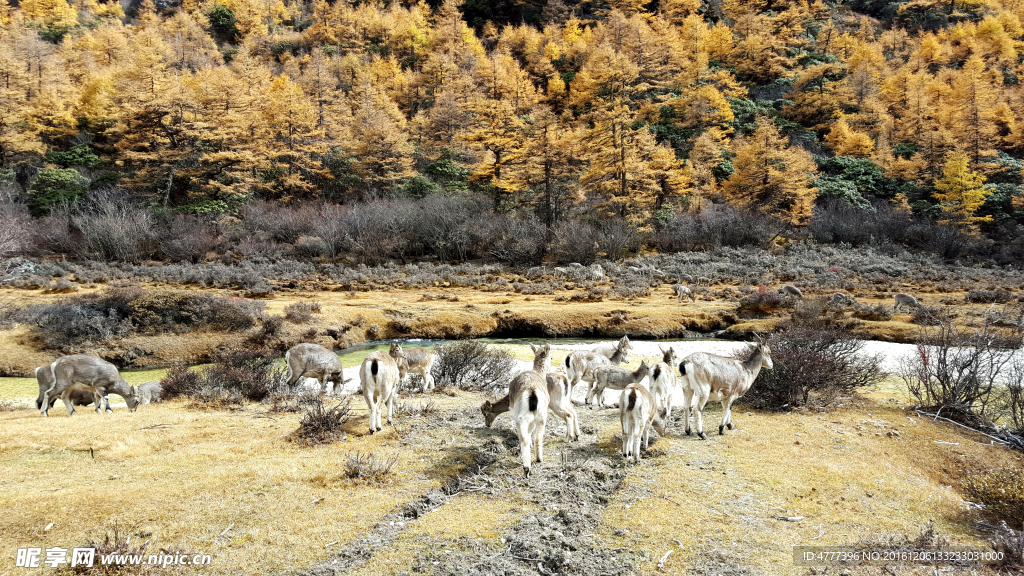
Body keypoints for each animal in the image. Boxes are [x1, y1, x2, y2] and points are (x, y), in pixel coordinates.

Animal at [505, 342, 548, 473]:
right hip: (541, 417)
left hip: (522, 418)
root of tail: (532, 391)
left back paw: (526, 467)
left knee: (525, 438)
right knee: (538, 438)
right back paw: (538, 459)